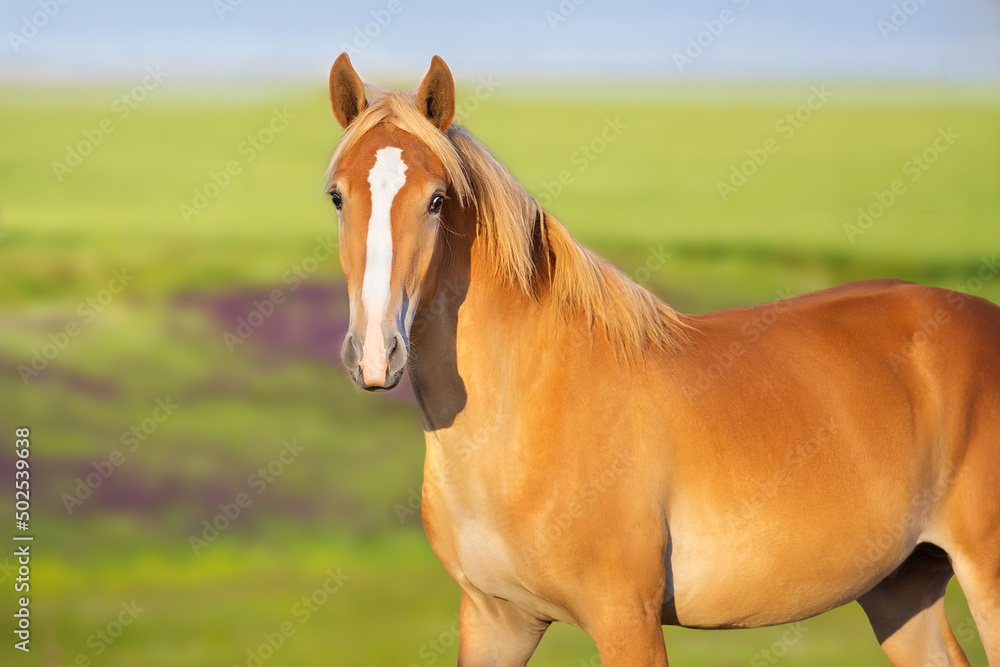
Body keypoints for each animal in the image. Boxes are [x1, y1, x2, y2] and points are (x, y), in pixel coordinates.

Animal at [324, 53, 1000, 666]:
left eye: (437, 200)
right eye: (336, 196)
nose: (376, 356)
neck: (522, 411)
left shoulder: (627, 619)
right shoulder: (497, 621)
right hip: (900, 589)